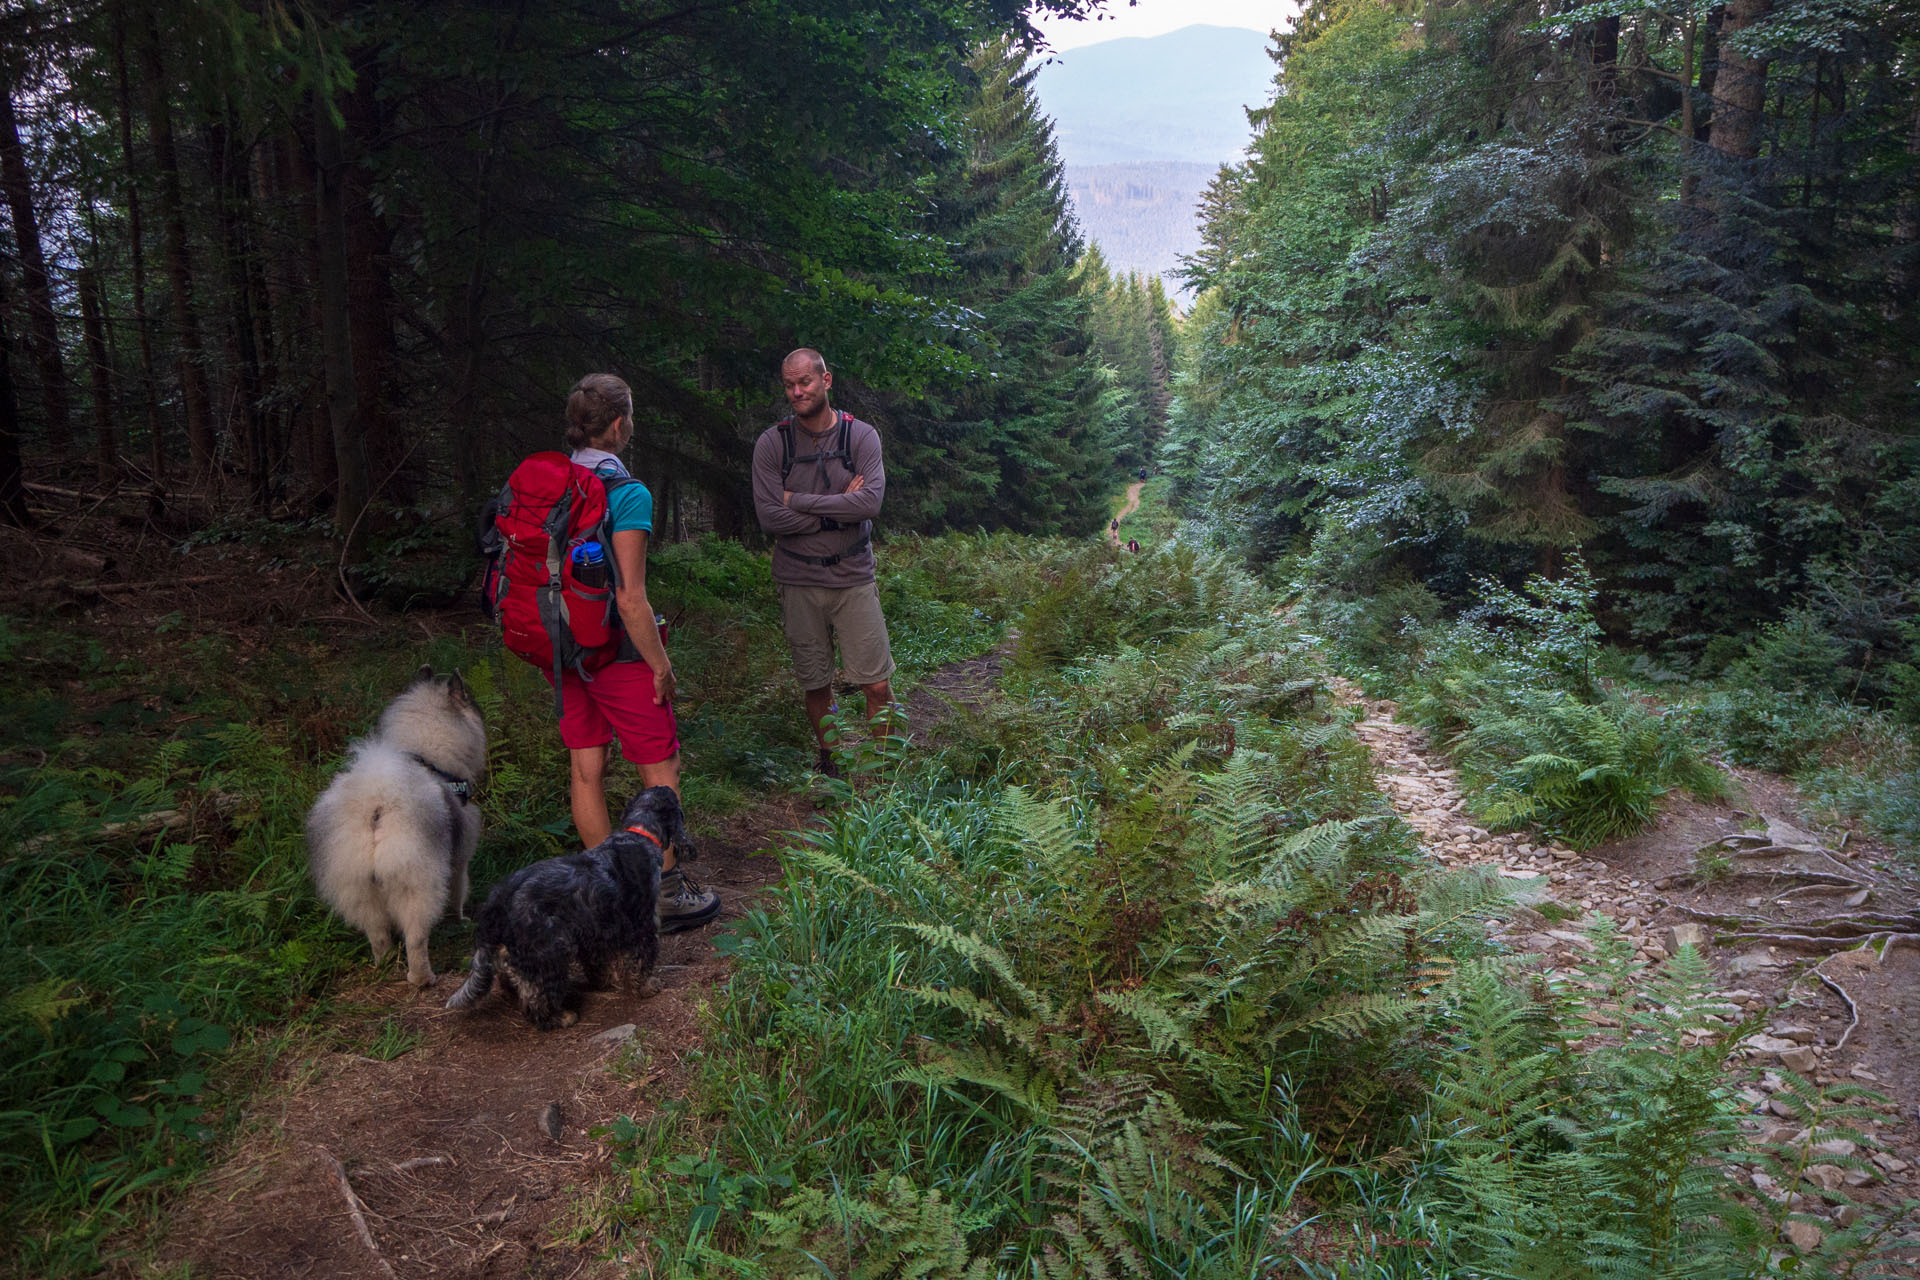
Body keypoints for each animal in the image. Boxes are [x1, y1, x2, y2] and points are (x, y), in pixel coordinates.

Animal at [305, 671, 487, 990]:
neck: (429, 757)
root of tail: (376, 805)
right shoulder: (459, 860)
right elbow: (458, 893)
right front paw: (460, 921)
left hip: (358, 887)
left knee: (378, 936)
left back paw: (385, 964)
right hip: (417, 884)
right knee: (416, 939)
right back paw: (423, 978)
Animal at [441, 786, 691, 1028]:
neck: (639, 834)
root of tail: (496, 902)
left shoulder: (597, 931)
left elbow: (599, 963)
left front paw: (606, 982)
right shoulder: (642, 924)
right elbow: (641, 961)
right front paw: (647, 987)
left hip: (517, 951)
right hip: (548, 953)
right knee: (536, 999)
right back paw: (560, 1018)